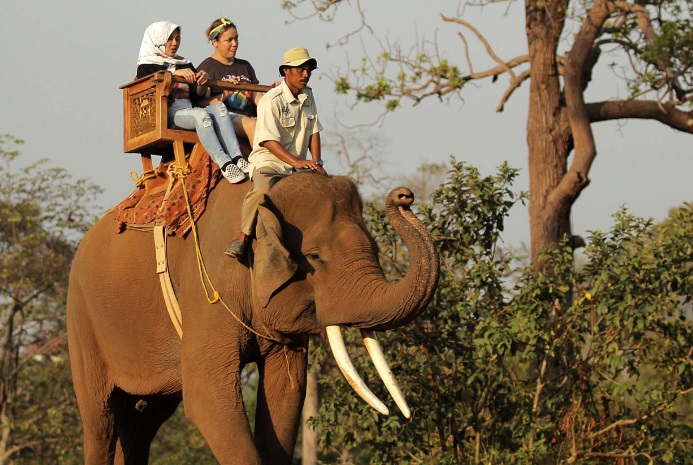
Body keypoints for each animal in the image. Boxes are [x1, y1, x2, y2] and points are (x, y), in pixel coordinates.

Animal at [69, 171, 438, 464]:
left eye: (374, 250)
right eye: (316, 257)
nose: (404, 196)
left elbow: (287, 393)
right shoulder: (208, 286)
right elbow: (207, 398)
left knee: (141, 422)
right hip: (83, 321)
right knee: (101, 421)